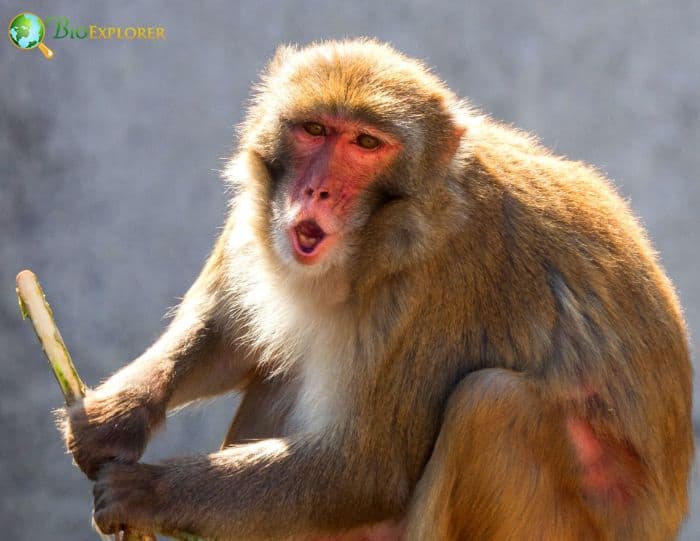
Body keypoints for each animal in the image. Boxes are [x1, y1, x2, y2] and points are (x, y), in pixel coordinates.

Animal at [61, 39, 693, 540]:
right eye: (315, 129)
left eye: (366, 144)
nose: (316, 191)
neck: (379, 239)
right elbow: (231, 332)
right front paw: (117, 413)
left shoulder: (438, 287)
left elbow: (363, 470)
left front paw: (146, 492)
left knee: (492, 404)